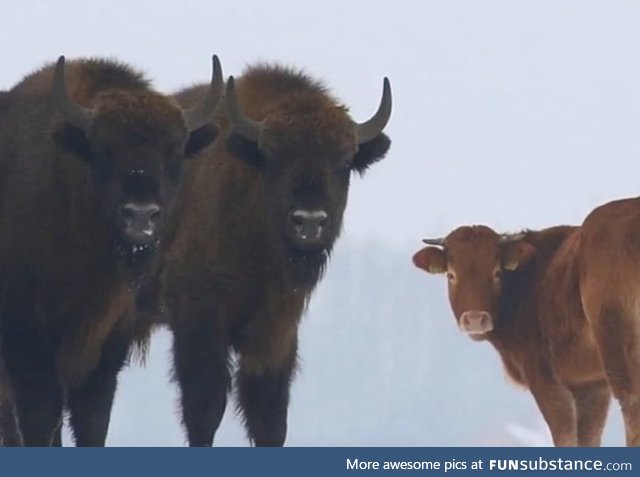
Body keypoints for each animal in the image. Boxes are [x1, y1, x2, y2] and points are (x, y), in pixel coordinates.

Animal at [0, 55, 222, 446]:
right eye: (104, 149)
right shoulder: (27, 344)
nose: (141, 215)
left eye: (174, 152)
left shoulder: (104, 358)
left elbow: (91, 425)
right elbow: (41, 419)